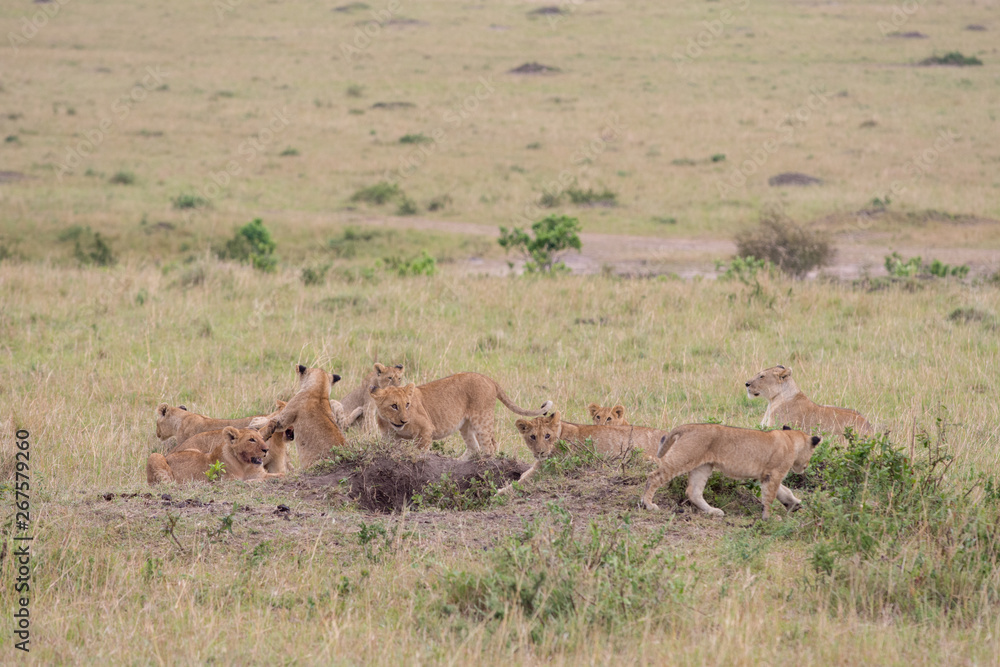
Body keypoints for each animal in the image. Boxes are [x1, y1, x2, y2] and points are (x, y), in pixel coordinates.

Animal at [146, 424, 279, 485]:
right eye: (251, 440)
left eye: (262, 438)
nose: (266, 449)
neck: (245, 465)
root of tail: (169, 455)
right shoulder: (228, 481)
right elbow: (251, 481)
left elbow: (278, 475)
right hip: (155, 456)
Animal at [369, 372, 553, 461]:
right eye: (394, 406)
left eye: (407, 404)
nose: (404, 420)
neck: (392, 424)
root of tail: (488, 379)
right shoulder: (389, 438)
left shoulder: (426, 429)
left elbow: (419, 451)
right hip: (466, 426)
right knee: (474, 447)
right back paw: (459, 463)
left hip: (482, 419)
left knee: (490, 446)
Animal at [498, 412, 666, 494]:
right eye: (532, 437)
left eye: (547, 435)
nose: (540, 452)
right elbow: (524, 474)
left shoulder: (547, 470)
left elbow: (522, 481)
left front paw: (500, 492)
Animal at [641, 424, 821, 519]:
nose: (805, 466)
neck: (790, 439)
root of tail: (688, 426)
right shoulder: (774, 474)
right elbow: (770, 496)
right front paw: (770, 517)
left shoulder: (765, 475)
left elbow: (784, 491)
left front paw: (794, 503)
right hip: (683, 459)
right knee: (653, 477)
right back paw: (649, 504)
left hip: (703, 466)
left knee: (693, 492)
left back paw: (713, 511)